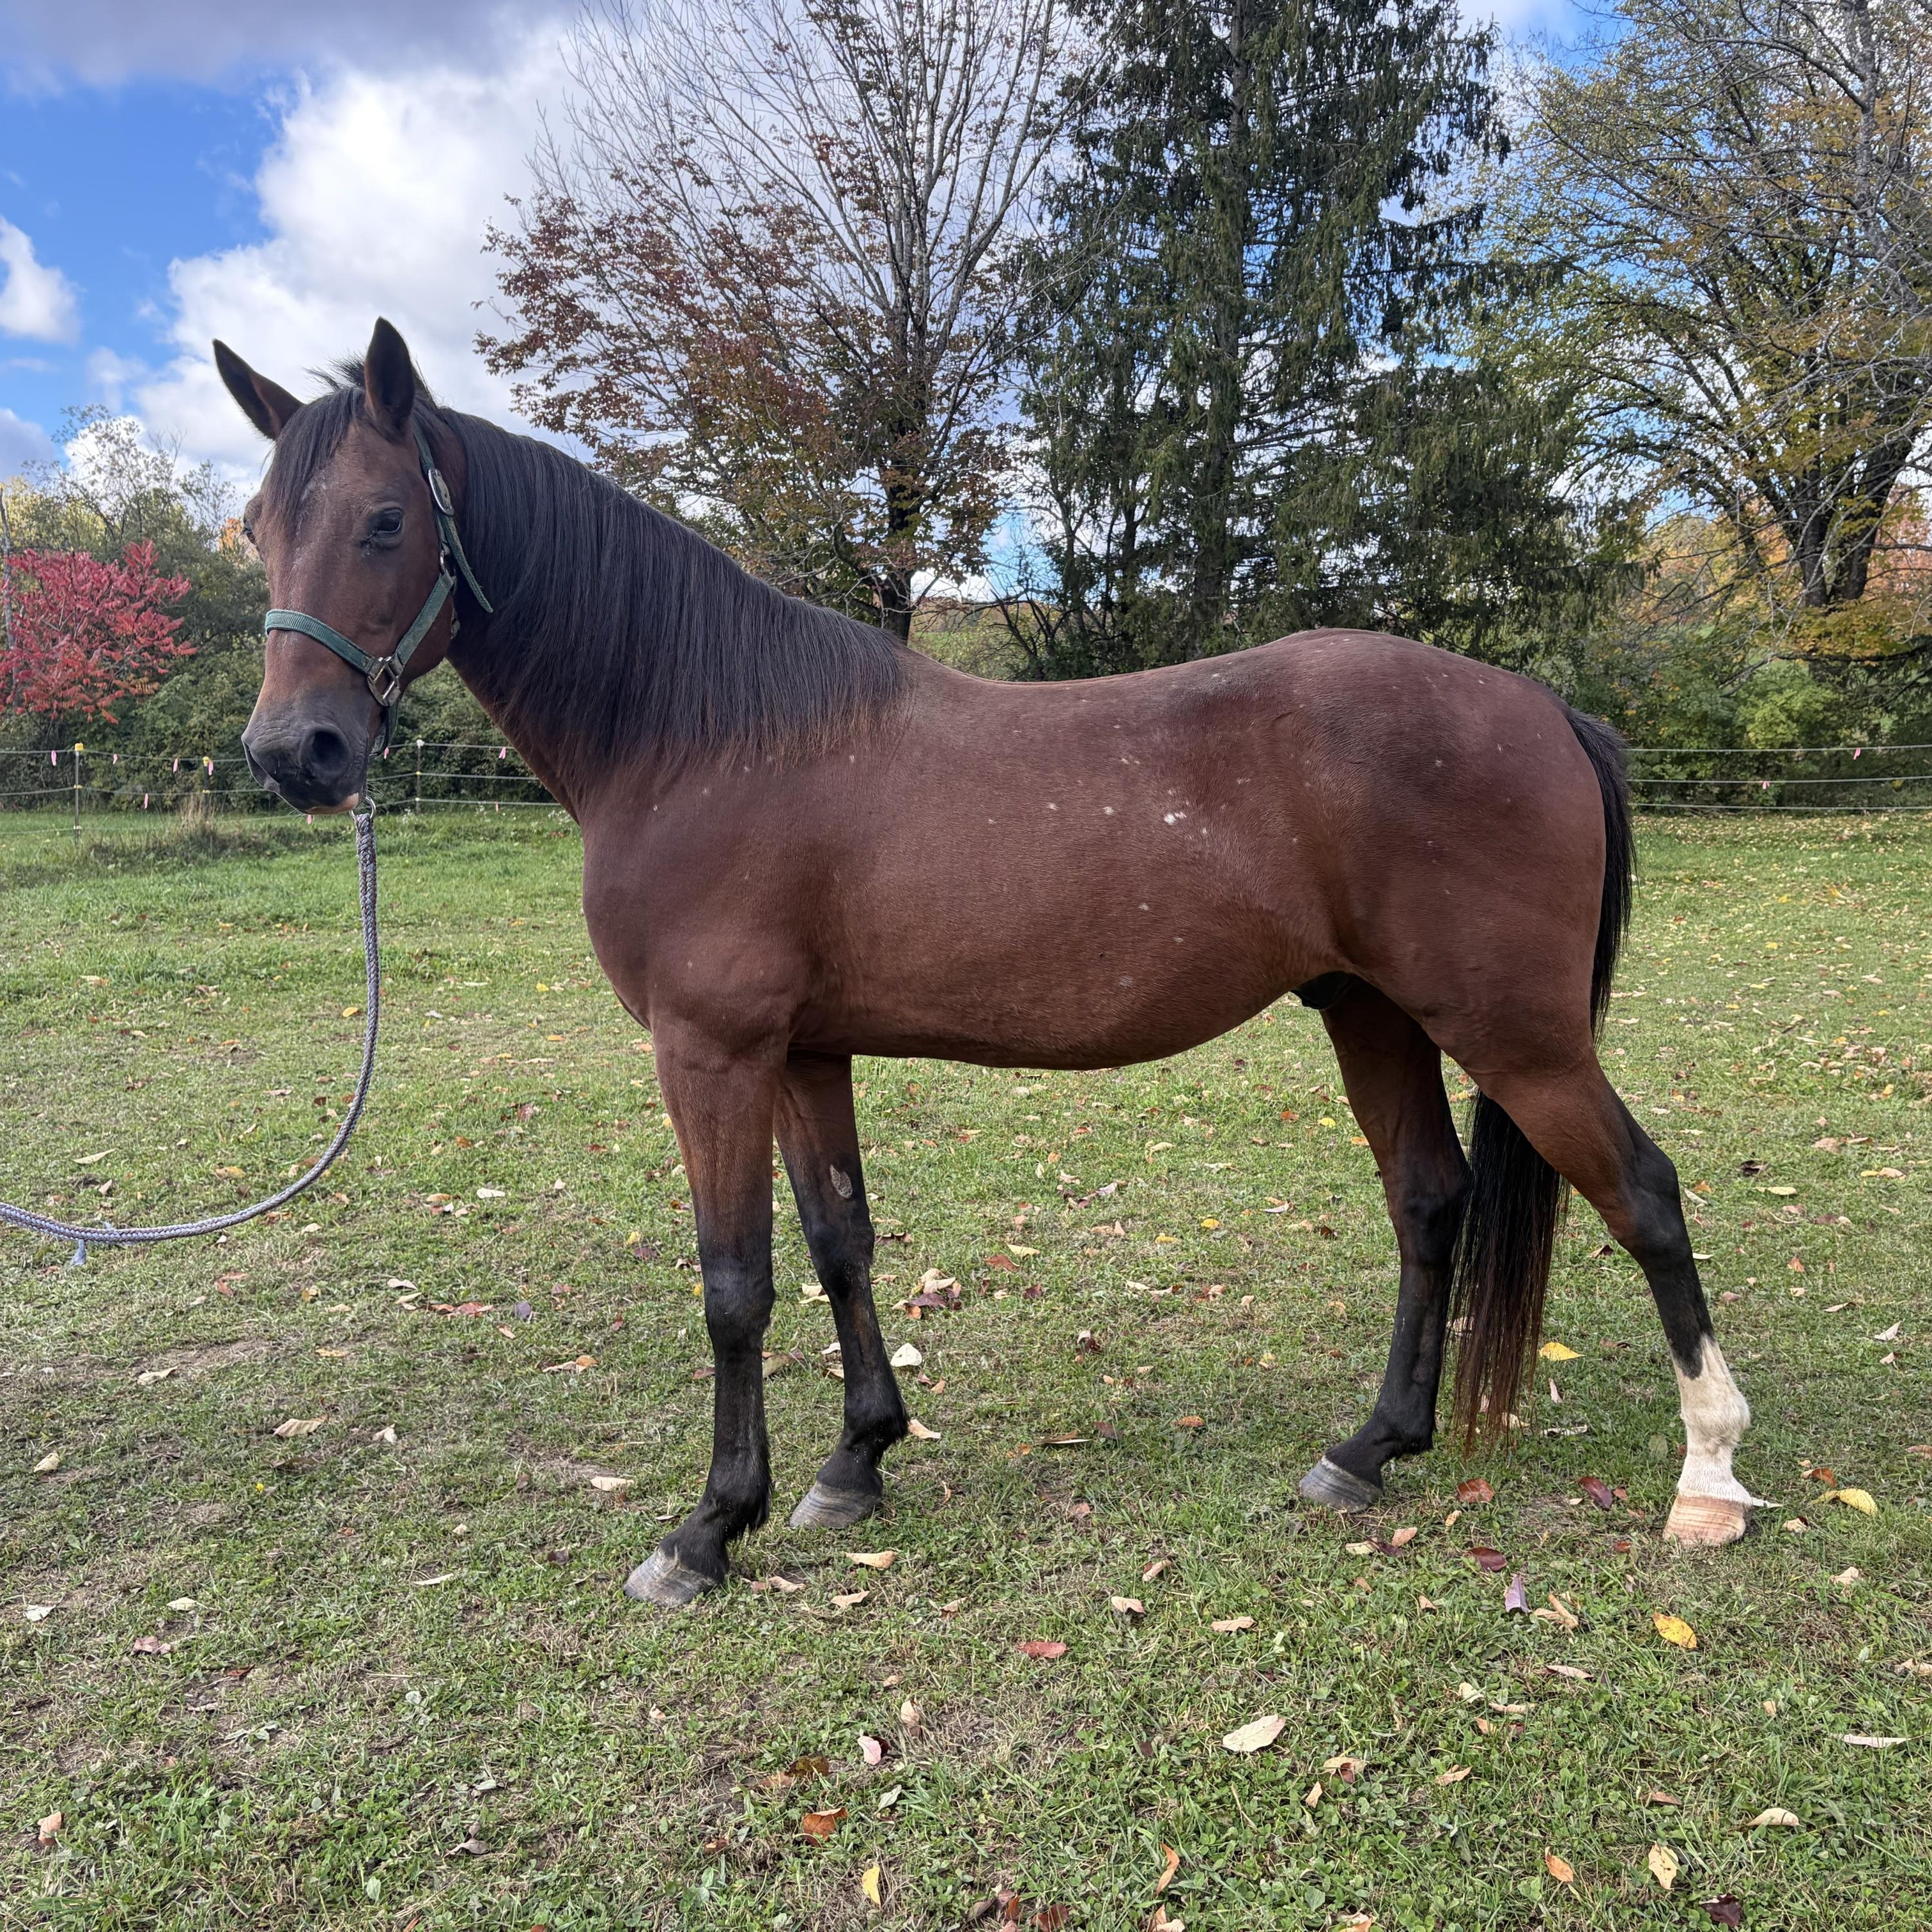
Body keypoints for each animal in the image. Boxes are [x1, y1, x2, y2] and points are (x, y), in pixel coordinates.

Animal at [216, 318, 1759, 1606]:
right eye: (258, 529)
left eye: (383, 518)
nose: (297, 751)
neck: (704, 739)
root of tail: (1542, 707)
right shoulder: (804, 1052)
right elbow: (837, 1242)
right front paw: (854, 1462)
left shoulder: (710, 1050)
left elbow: (732, 1283)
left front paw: (707, 1528)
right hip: (1370, 1012)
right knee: (1430, 1203)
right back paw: (1368, 1447)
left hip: (1514, 1032)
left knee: (1643, 1193)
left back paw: (1706, 1475)